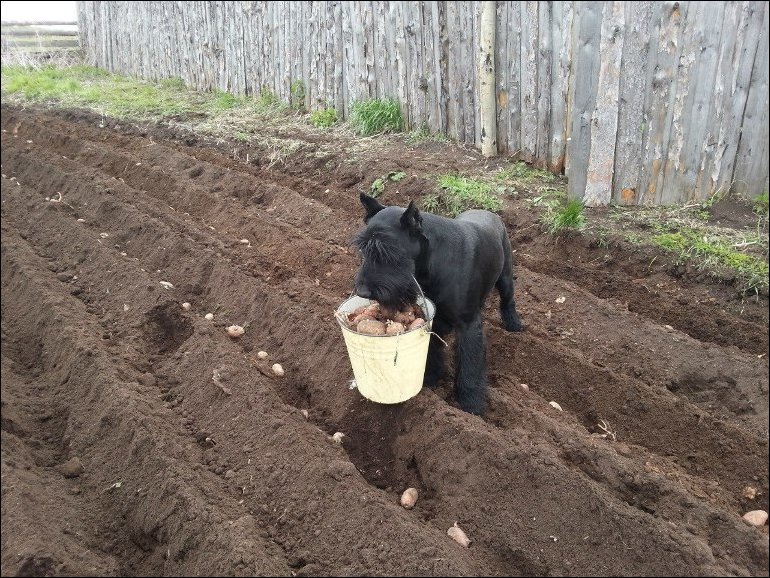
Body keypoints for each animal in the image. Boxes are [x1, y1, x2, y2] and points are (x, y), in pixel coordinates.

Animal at [352, 194, 520, 414]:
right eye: (363, 249)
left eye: (388, 251)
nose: (362, 291)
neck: (430, 264)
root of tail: (490, 213)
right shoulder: (432, 317)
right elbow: (432, 349)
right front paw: (431, 376)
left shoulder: (468, 324)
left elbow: (470, 364)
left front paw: (471, 403)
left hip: (506, 277)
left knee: (508, 300)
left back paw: (514, 324)